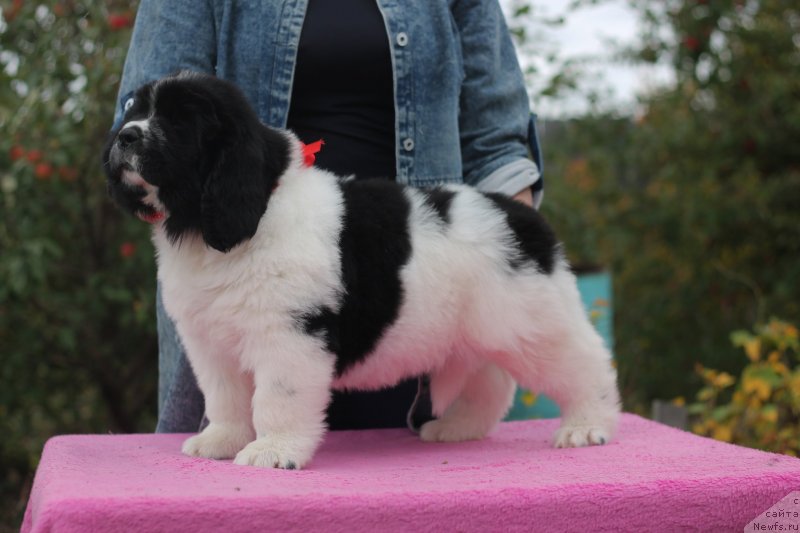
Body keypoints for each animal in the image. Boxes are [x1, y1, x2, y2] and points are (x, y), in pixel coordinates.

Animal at [104, 71, 620, 470]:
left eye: (180, 121)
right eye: (135, 109)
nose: (125, 136)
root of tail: (519, 215)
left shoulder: (289, 335)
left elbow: (276, 399)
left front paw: (274, 451)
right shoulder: (211, 343)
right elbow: (225, 398)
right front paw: (221, 442)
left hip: (534, 320)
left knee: (584, 363)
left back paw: (587, 425)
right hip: (475, 332)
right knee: (489, 381)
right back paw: (459, 427)